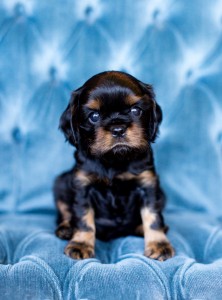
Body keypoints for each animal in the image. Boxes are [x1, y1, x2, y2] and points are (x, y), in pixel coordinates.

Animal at [53, 71, 173, 262]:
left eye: (135, 110)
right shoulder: (82, 186)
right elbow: (83, 219)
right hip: (61, 183)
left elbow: (153, 217)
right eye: (94, 116)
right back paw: (66, 229)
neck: (114, 160)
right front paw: (80, 244)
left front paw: (159, 244)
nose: (118, 129)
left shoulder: (148, 185)